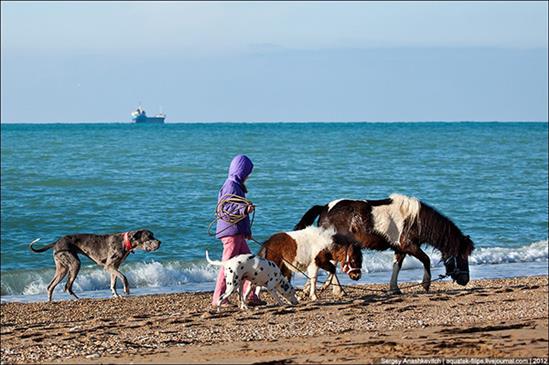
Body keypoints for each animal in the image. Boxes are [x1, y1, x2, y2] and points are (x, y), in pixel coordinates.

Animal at [294, 193, 474, 292]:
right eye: (462, 257)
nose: (465, 280)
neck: (416, 220)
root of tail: (324, 208)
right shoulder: (409, 246)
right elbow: (426, 259)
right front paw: (425, 284)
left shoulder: (400, 249)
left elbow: (397, 266)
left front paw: (394, 288)